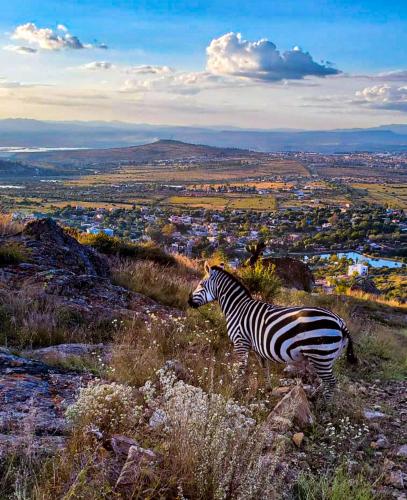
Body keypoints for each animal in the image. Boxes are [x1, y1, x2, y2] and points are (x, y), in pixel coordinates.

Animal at [188, 262, 356, 398]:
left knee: (331, 382)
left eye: (201, 284)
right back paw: (315, 396)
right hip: (327, 357)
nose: (188, 302)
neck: (237, 308)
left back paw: (324, 405)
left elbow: (241, 370)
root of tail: (339, 321)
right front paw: (267, 389)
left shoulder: (240, 342)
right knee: (326, 382)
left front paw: (236, 390)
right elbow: (265, 368)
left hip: (320, 354)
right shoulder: (258, 348)